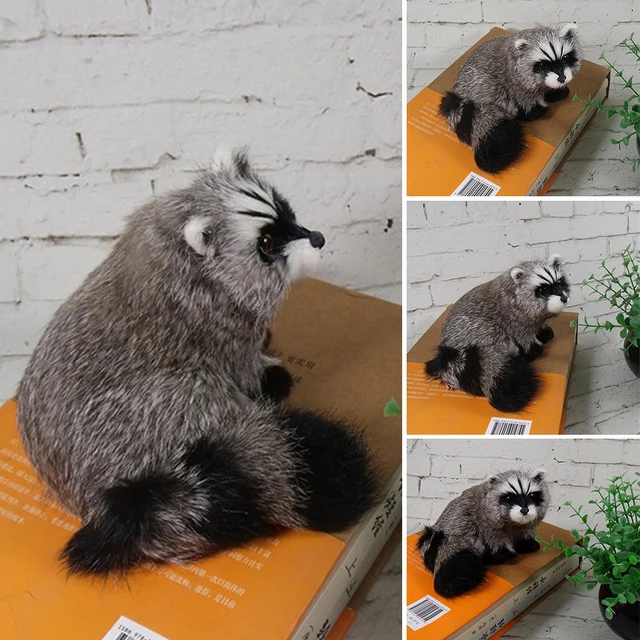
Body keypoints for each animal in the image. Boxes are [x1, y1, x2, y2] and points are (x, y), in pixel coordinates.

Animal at [17, 149, 377, 576]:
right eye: (267, 243)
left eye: (288, 212)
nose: (319, 238)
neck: (171, 241)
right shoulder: (215, 326)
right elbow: (241, 366)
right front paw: (264, 373)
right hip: (157, 408)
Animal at [417, 469, 549, 599]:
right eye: (508, 498)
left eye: (531, 495)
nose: (525, 510)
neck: (512, 522)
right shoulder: (486, 523)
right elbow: (496, 539)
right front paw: (502, 552)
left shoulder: (523, 525)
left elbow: (524, 532)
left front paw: (525, 543)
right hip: (453, 533)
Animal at [426, 255, 570, 413]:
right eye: (543, 289)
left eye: (560, 282)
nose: (564, 298)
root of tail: (449, 354)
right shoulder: (515, 318)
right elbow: (523, 335)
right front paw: (532, 346)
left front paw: (543, 330)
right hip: (477, 330)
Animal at [440, 23, 583, 173]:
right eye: (543, 65)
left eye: (565, 57)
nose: (562, 78)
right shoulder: (515, 80)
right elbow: (526, 97)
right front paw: (534, 109)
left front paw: (552, 92)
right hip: (482, 87)